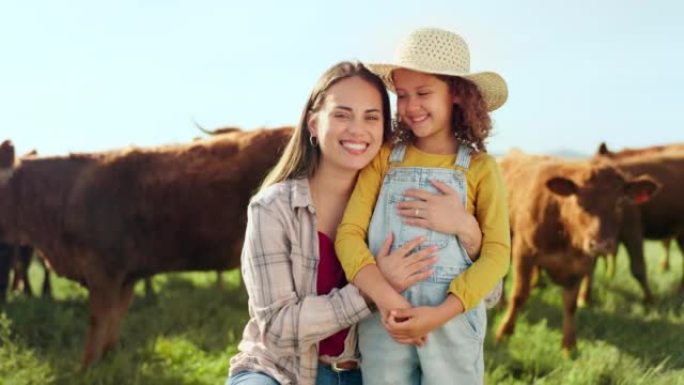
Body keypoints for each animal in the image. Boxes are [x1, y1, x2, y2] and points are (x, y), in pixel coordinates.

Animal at [0, 127, 292, 366]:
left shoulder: (103, 273)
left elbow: (97, 322)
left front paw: (85, 369)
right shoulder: (125, 278)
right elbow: (114, 321)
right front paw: (108, 358)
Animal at [494, 150, 660, 352]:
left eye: (620, 203)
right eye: (579, 201)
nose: (601, 244)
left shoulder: (579, 265)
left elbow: (570, 304)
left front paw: (569, 345)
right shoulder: (524, 252)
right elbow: (519, 295)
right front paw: (504, 333)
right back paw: (500, 303)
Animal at [580, 142, 684, 304]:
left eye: (619, 202)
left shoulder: (632, 230)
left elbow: (638, 268)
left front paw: (649, 300)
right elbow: (588, 267)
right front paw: (584, 299)